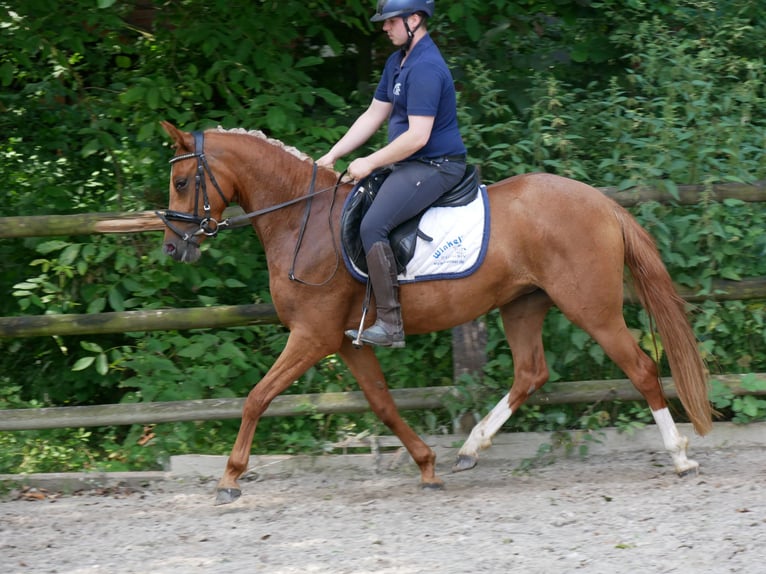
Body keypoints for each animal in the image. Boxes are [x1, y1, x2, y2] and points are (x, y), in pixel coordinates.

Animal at [156, 121, 712, 508]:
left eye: (182, 181)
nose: (173, 248)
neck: (302, 222)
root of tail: (602, 203)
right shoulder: (343, 340)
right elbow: (382, 404)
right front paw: (427, 466)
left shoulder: (311, 336)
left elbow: (256, 398)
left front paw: (229, 478)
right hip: (522, 305)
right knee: (531, 373)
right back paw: (470, 448)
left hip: (591, 308)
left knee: (640, 368)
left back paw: (681, 456)